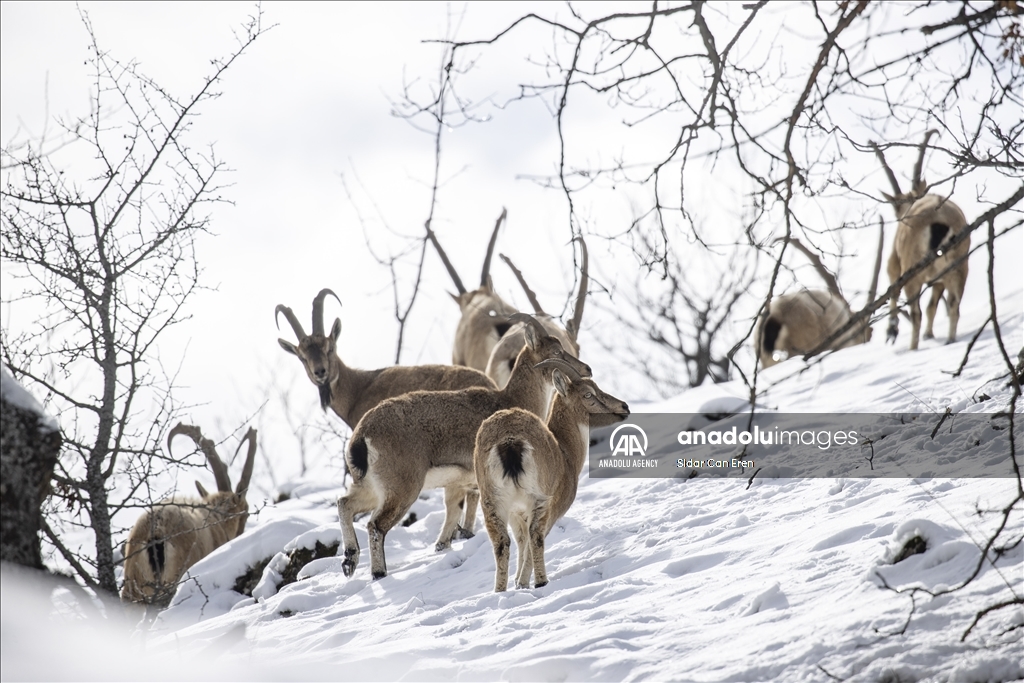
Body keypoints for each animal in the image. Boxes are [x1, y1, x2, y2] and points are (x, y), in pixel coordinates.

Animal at [337, 313, 589, 581]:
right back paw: (378, 572)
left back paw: (349, 560)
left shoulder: (458, 484)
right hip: (402, 488)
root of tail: (361, 436)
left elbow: (452, 516)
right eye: (556, 351)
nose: (586, 369)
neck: (511, 400)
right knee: (375, 525)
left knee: (345, 503)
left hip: (372, 486)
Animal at [473, 358, 630, 593]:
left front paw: (518, 582)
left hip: (492, 501)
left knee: (502, 541)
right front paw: (523, 582)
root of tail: (509, 441)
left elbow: (521, 541)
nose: (624, 407)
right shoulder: (552, 507)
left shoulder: (516, 512)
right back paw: (540, 581)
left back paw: (499, 590)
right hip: (539, 498)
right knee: (536, 536)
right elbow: (531, 540)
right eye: (588, 394)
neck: (565, 452)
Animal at [872, 130, 966, 350]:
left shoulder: (896, 263)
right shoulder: (939, 280)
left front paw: (892, 330)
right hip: (958, 267)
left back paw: (912, 347)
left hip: (913, 271)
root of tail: (939, 222)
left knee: (916, 313)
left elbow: (893, 288)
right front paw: (929, 335)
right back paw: (950, 340)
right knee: (953, 304)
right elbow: (933, 305)